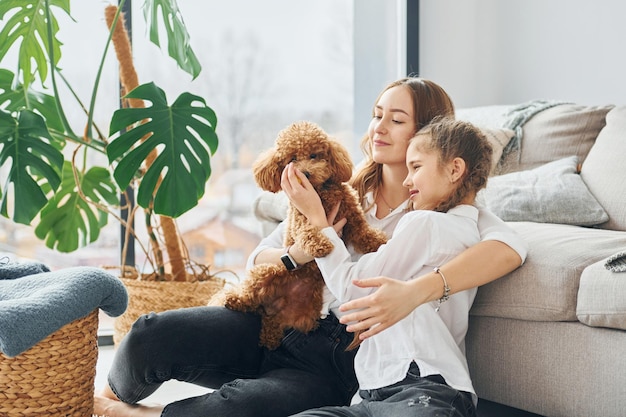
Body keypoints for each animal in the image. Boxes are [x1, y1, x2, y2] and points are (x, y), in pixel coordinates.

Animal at [210, 120, 386, 348]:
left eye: (314, 155)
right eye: (292, 159)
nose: (306, 173)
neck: (320, 193)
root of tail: (275, 305)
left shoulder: (352, 217)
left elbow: (364, 232)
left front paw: (380, 241)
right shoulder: (301, 220)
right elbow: (310, 232)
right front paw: (321, 245)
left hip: (304, 314)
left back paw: (269, 336)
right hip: (267, 271)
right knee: (247, 297)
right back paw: (233, 300)